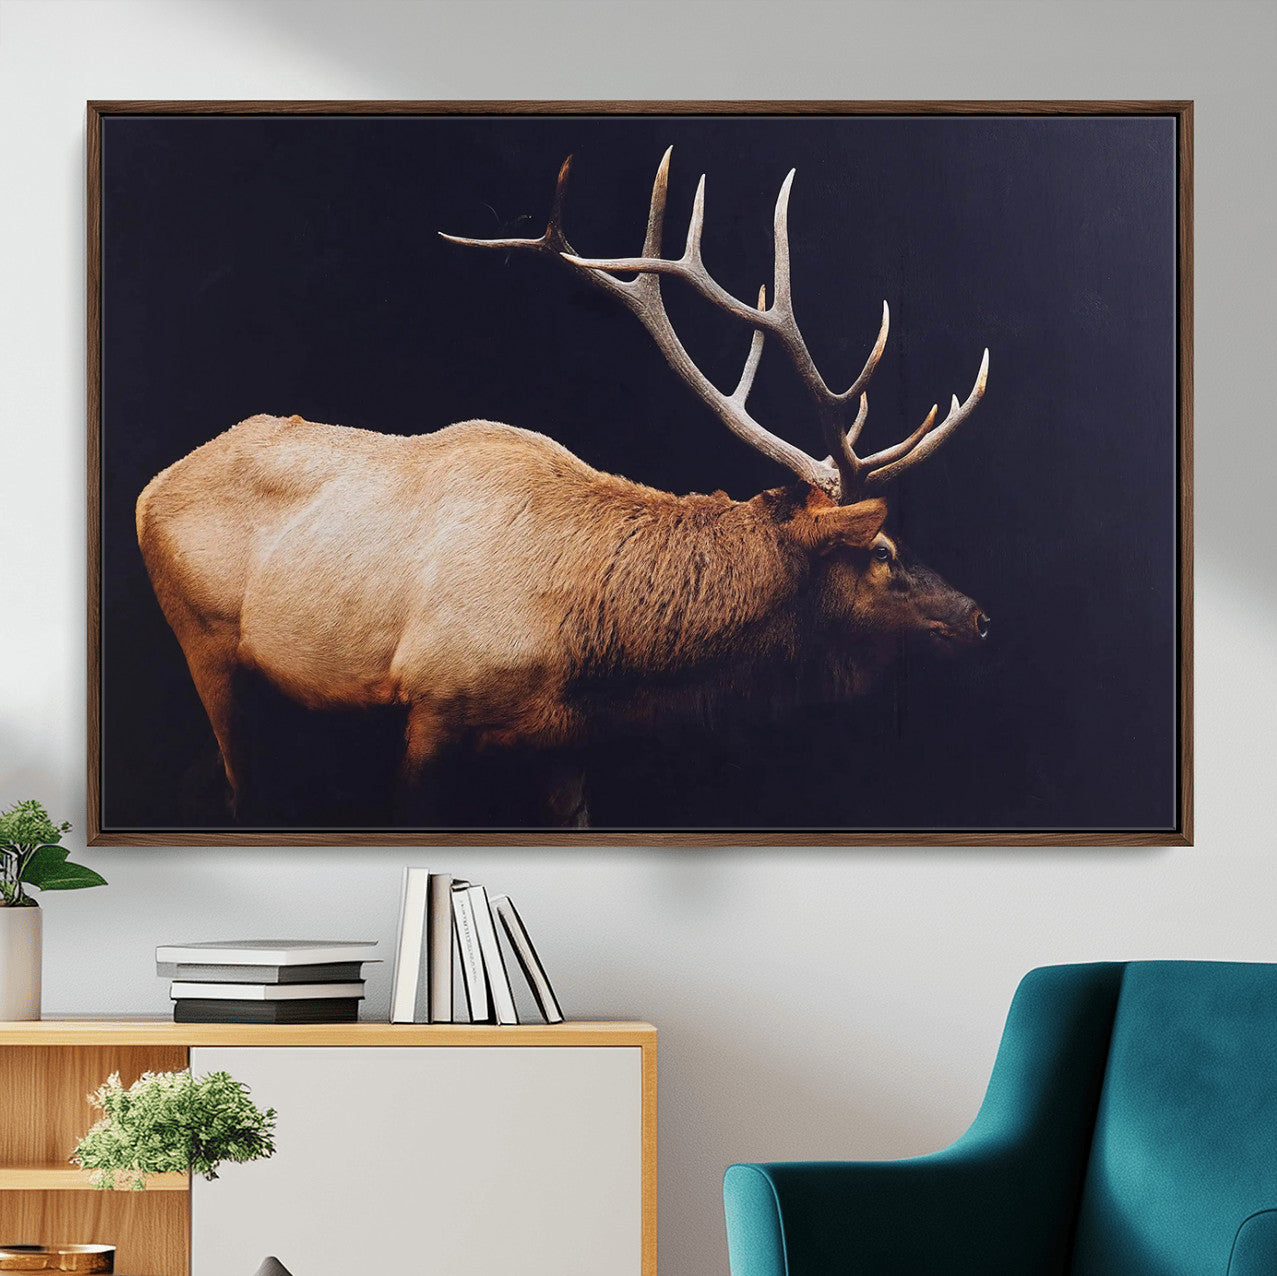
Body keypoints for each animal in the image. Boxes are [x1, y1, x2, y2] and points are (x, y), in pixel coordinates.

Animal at [135, 148, 991, 828]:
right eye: (881, 549)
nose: (978, 617)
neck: (593, 647)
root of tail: (149, 488)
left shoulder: (565, 744)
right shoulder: (431, 703)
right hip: (204, 642)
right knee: (243, 789)